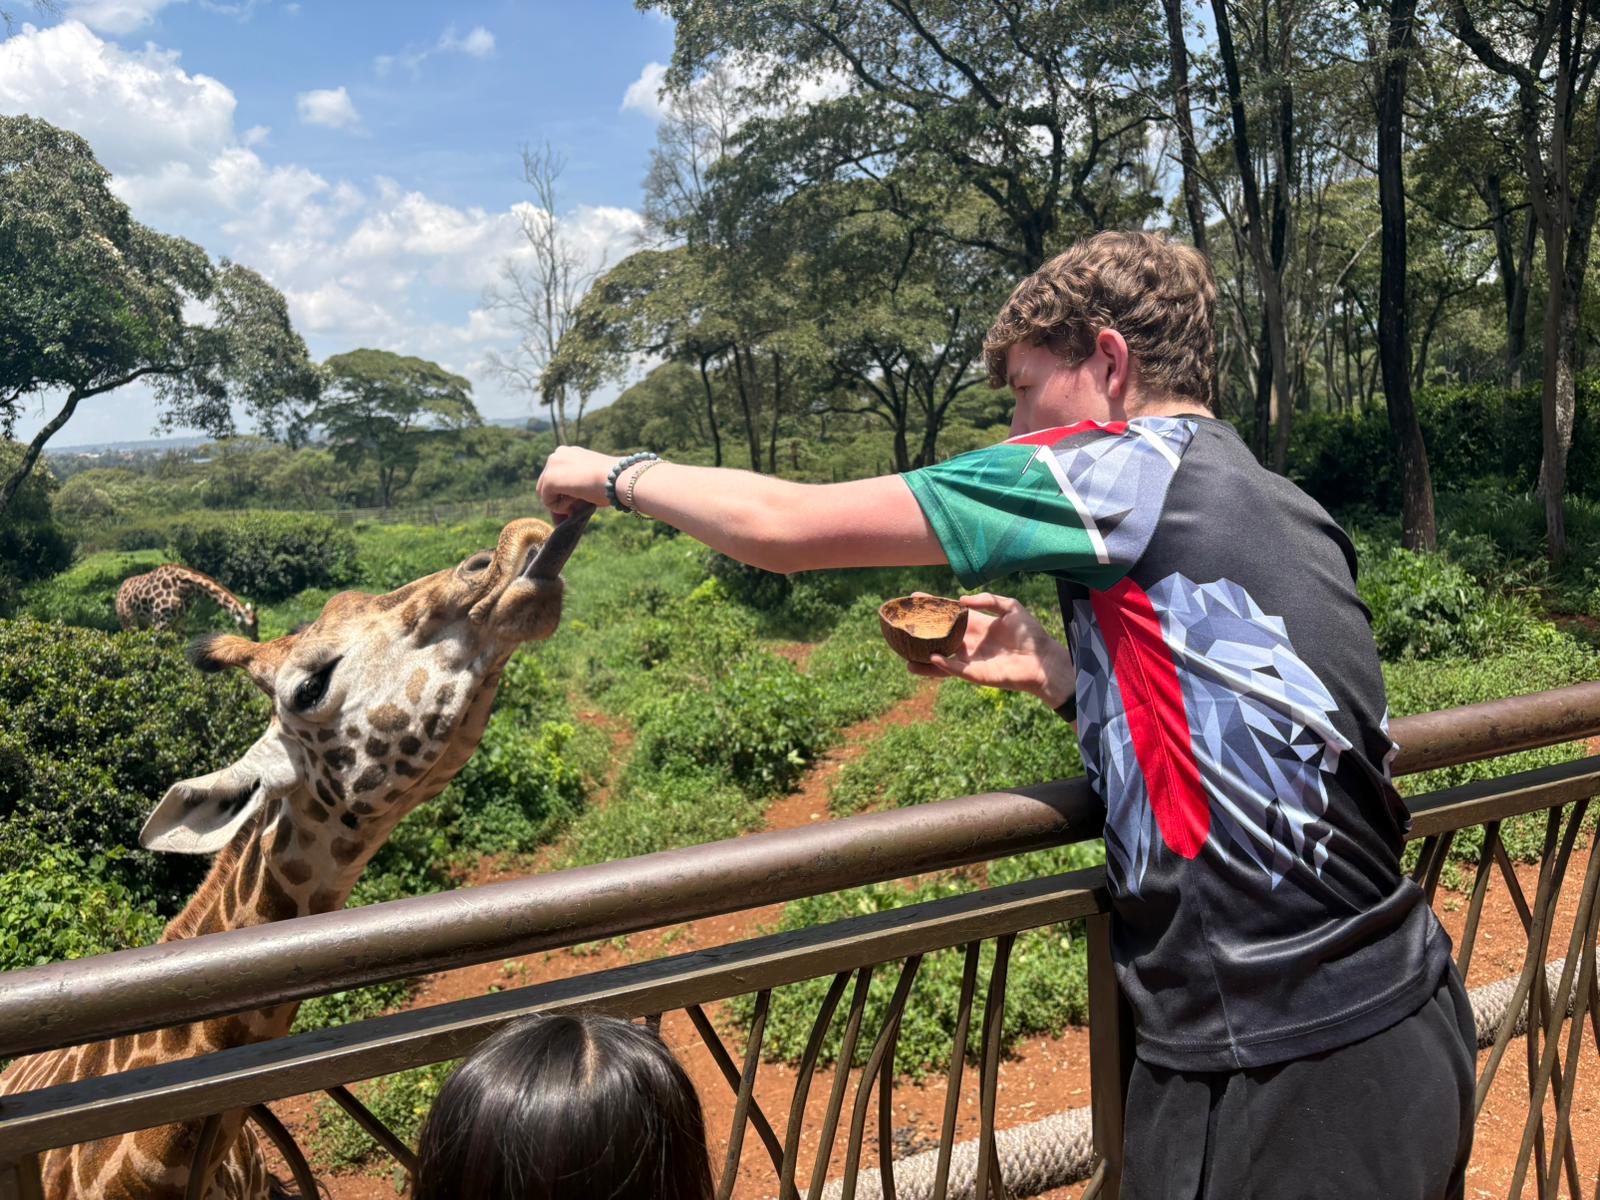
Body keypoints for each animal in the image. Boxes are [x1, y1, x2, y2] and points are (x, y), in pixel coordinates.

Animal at [117, 564, 260, 641]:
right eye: (250, 625)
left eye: (257, 623)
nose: (256, 639)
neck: (184, 586)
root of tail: (119, 590)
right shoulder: (161, 621)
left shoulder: (180, 620)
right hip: (128, 619)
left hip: (144, 622)